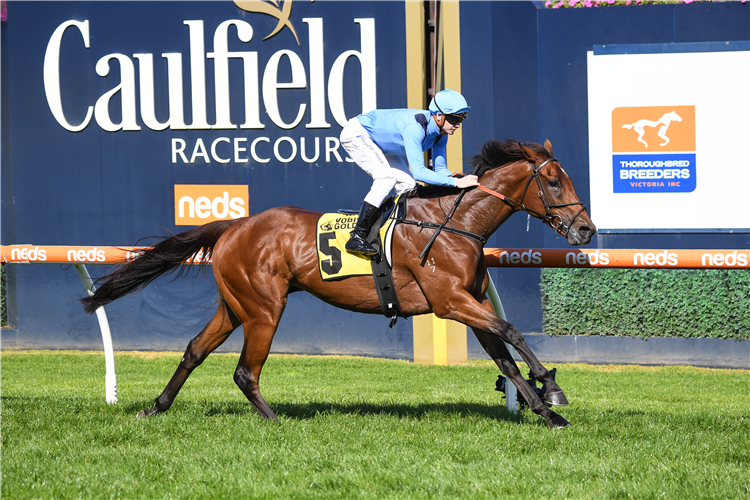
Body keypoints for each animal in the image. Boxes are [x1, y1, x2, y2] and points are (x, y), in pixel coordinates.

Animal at [81, 139, 600, 428]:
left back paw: (156, 407)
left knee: (194, 350)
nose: (586, 231)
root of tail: (235, 225)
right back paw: (276, 421)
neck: (453, 224)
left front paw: (548, 412)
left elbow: (505, 360)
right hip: (263, 308)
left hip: (233, 305)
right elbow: (513, 334)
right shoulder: (449, 301)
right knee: (245, 372)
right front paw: (552, 388)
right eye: (555, 182)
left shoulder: (468, 302)